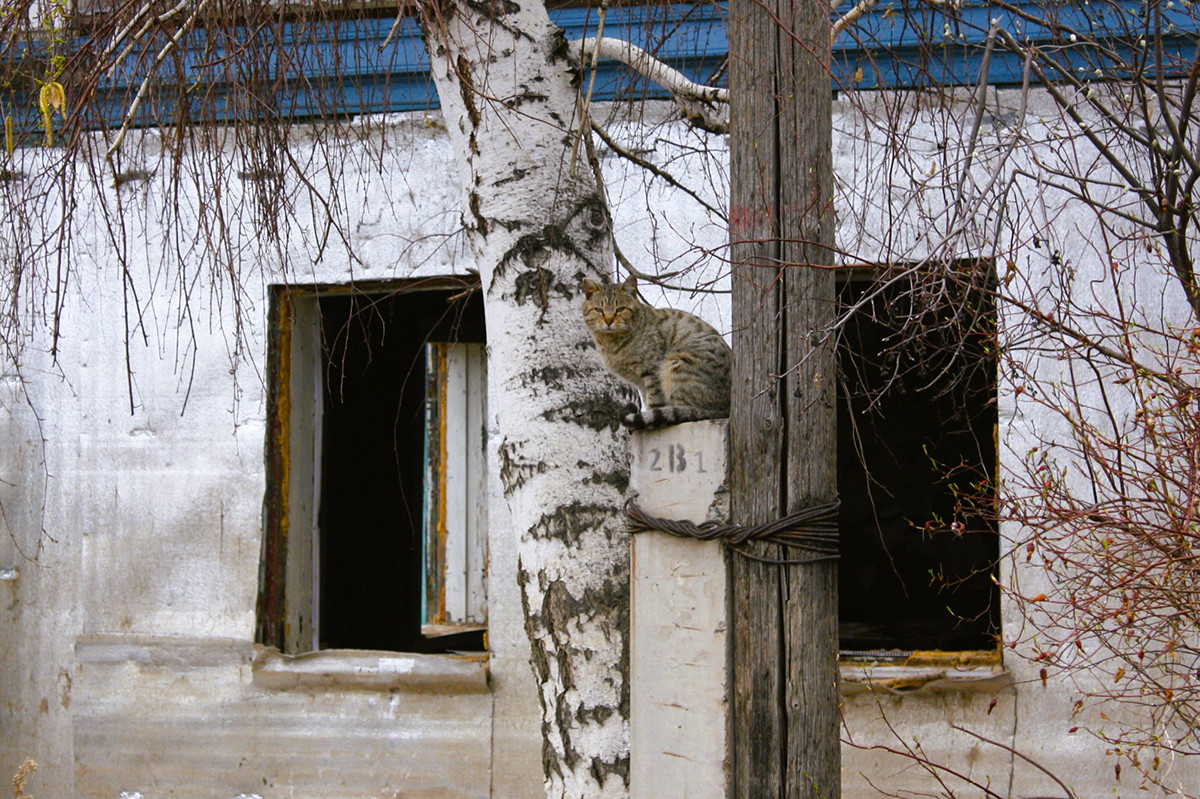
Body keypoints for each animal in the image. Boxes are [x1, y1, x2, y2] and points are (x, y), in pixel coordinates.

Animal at [582, 275, 731, 430]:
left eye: (620, 309)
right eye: (599, 310)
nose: (609, 320)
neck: (611, 343)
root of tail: (725, 409)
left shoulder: (652, 371)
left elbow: (655, 401)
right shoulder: (640, 382)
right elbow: (647, 400)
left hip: (675, 365)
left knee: (687, 412)